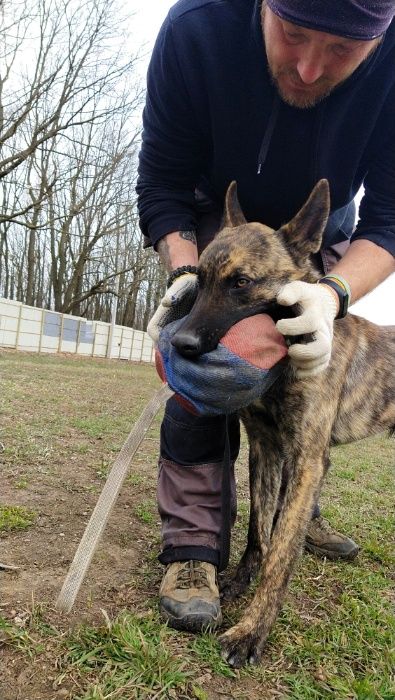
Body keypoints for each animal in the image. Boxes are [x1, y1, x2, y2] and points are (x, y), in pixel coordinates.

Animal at [172, 179, 394, 668]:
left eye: (241, 282)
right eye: (200, 279)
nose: (180, 343)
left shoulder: (308, 460)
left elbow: (281, 551)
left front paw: (251, 632)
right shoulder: (265, 450)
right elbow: (259, 529)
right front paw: (239, 581)